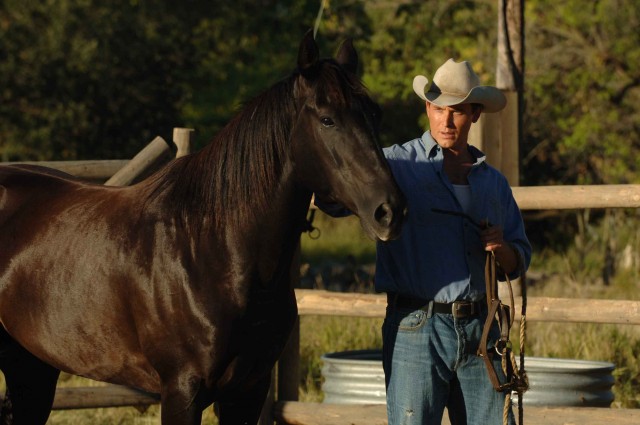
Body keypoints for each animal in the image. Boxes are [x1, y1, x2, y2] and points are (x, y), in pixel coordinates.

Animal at [0, 31, 404, 422]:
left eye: (376, 114)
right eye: (327, 119)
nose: (390, 210)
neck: (211, 247)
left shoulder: (248, 389)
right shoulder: (182, 391)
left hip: (32, 367)